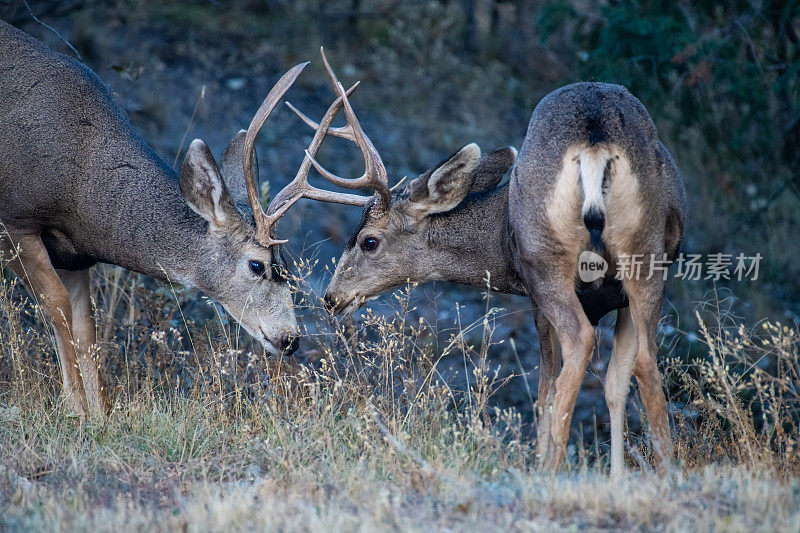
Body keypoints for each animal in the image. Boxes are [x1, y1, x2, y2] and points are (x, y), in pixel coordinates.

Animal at [0, 20, 334, 418]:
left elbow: (85, 327)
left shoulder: (75, 256)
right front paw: (75, 410)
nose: (290, 339)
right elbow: (57, 305)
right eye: (257, 265)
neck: (81, 184)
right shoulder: (16, 222)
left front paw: (100, 414)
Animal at [282, 50, 688, 476]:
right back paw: (665, 471)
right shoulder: (621, 299)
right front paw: (617, 479)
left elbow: (546, 392)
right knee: (647, 362)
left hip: (547, 262)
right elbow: (614, 385)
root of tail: (596, 143)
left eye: (369, 241)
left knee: (578, 346)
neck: (499, 236)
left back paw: (547, 471)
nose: (332, 297)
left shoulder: (534, 294)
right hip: (646, 259)